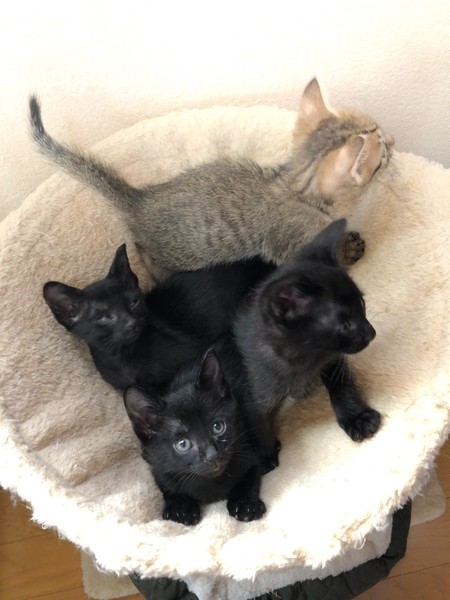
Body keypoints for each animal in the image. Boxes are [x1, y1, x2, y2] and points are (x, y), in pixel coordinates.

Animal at [29, 78, 394, 274]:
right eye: (382, 154)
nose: (392, 141)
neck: (295, 187)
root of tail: (140, 199)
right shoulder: (292, 246)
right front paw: (346, 252)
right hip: (173, 256)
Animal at [124, 348, 266, 525]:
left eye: (218, 427)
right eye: (182, 444)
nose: (212, 455)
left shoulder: (247, 450)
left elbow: (250, 476)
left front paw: (245, 503)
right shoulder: (159, 469)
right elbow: (167, 486)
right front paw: (180, 508)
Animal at [230, 219, 380, 466]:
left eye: (362, 304)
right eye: (345, 325)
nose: (371, 333)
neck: (303, 359)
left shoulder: (333, 358)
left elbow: (341, 385)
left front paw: (356, 418)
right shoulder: (249, 389)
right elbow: (256, 419)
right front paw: (265, 455)